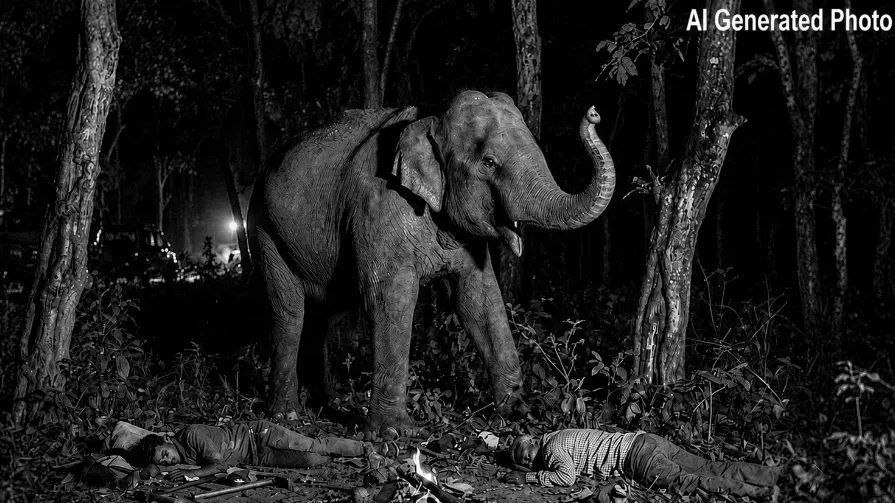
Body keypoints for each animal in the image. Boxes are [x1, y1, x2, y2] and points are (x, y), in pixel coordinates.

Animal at [246, 90, 615, 435]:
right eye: (489, 163)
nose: (594, 113)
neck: (431, 118)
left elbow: (479, 298)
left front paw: (519, 412)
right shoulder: (378, 208)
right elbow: (391, 297)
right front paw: (396, 431)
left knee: (321, 317)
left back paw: (328, 404)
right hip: (263, 228)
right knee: (289, 311)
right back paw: (286, 415)